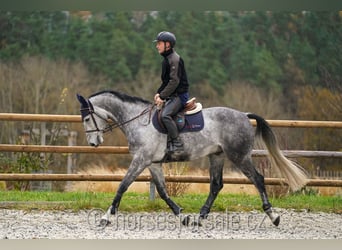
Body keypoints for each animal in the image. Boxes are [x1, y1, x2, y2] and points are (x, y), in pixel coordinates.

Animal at [77, 90, 308, 227]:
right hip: (217, 156)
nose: (93, 143)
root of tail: (243, 115)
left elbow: (122, 186)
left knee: (258, 179)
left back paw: (274, 216)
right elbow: (162, 191)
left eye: (87, 118)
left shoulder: (141, 160)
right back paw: (200, 217)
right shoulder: (153, 163)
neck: (139, 122)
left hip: (239, 156)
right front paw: (183, 216)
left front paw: (105, 217)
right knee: (216, 185)